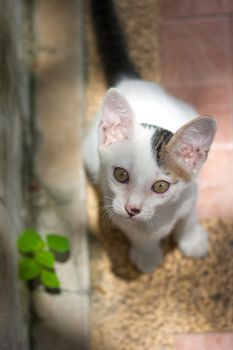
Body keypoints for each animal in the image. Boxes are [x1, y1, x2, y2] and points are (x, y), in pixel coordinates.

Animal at [83, 78, 216, 272]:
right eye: (120, 174)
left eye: (161, 186)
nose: (132, 209)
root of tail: (130, 80)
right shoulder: (116, 211)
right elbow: (138, 235)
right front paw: (148, 256)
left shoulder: (190, 194)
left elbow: (189, 219)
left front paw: (192, 241)